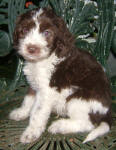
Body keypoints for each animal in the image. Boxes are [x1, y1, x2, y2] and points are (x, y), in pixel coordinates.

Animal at [9, 7, 112, 144]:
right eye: (24, 30)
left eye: (47, 33)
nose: (31, 48)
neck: (41, 61)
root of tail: (107, 112)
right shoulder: (34, 83)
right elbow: (28, 99)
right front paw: (21, 112)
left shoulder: (47, 91)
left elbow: (37, 112)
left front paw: (30, 133)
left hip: (77, 99)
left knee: (87, 124)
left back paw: (59, 126)